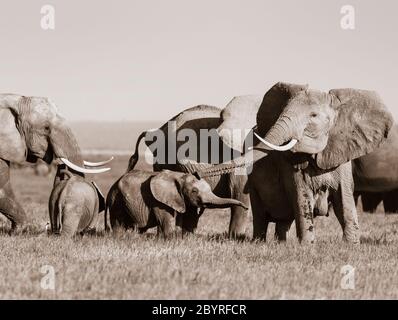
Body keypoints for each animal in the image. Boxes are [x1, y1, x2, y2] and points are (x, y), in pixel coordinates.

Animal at [104, 170, 246, 238]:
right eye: (194, 191)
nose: (246, 207)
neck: (179, 176)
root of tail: (111, 188)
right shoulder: (158, 200)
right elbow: (167, 220)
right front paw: (170, 239)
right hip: (117, 200)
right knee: (118, 223)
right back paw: (119, 238)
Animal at [196, 82, 392, 242]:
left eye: (313, 115)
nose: (197, 173)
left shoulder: (342, 155)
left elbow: (344, 199)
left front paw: (351, 245)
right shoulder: (290, 166)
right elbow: (301, 195)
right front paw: (308, 246)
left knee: (284, 220)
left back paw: (281, 243)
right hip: (252, 183)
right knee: (260, 213)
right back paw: (259, 242)